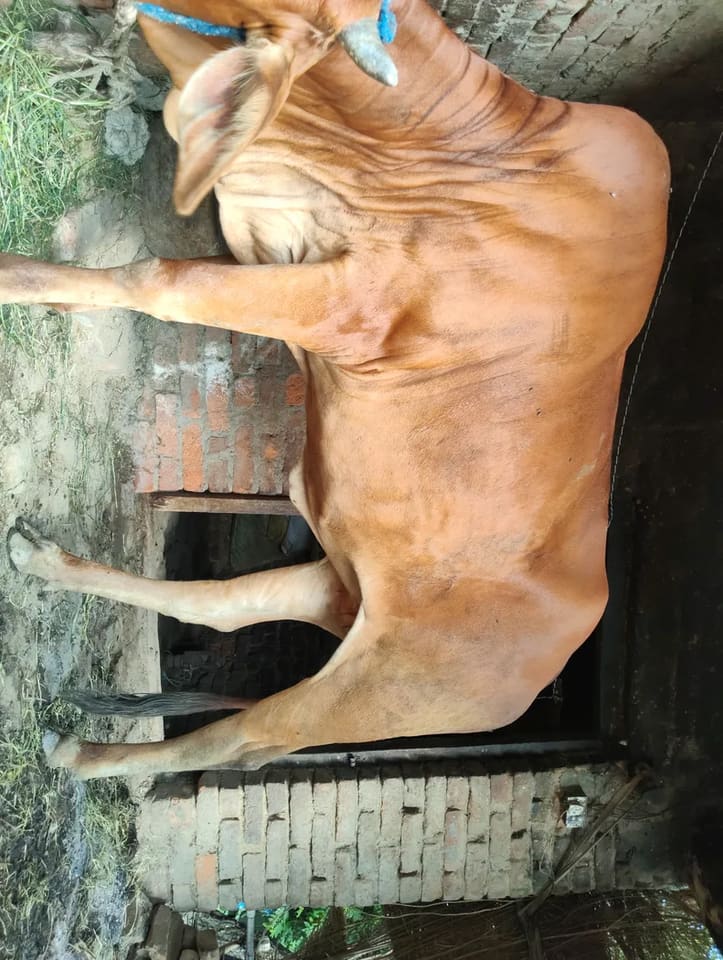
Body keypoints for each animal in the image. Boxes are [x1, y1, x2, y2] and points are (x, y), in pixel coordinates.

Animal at [2, 0, 669, 779]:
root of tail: (559, 654)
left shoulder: (347, 308)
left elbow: (160, 280)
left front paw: (14, 279)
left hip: (370, 693)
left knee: (240, 741)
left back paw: (85, 753)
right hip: (332, 583)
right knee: (222, 607)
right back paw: (44, 563)